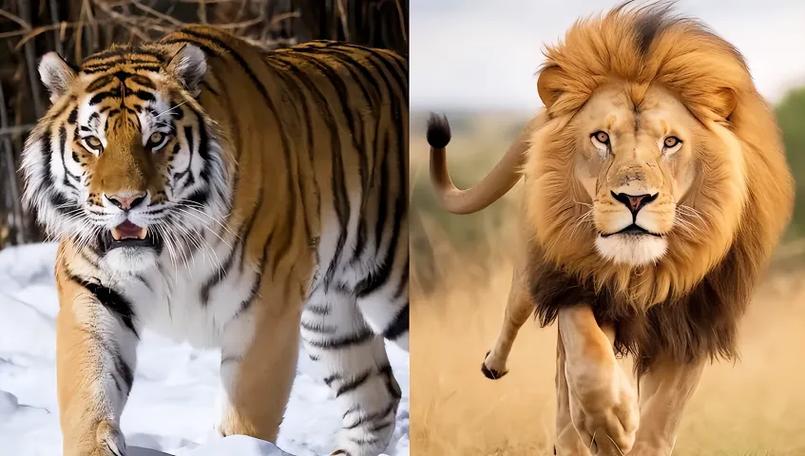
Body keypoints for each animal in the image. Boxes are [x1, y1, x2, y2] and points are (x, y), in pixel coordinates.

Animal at [22, 25, 408, 456]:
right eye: (92, 141)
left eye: (156, 138)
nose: (125, 201)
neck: (169, 251)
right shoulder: (94, 292)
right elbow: (89, 390)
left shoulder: (266, 307)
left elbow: (246, 417)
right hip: (331, 317)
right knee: (377, 396)